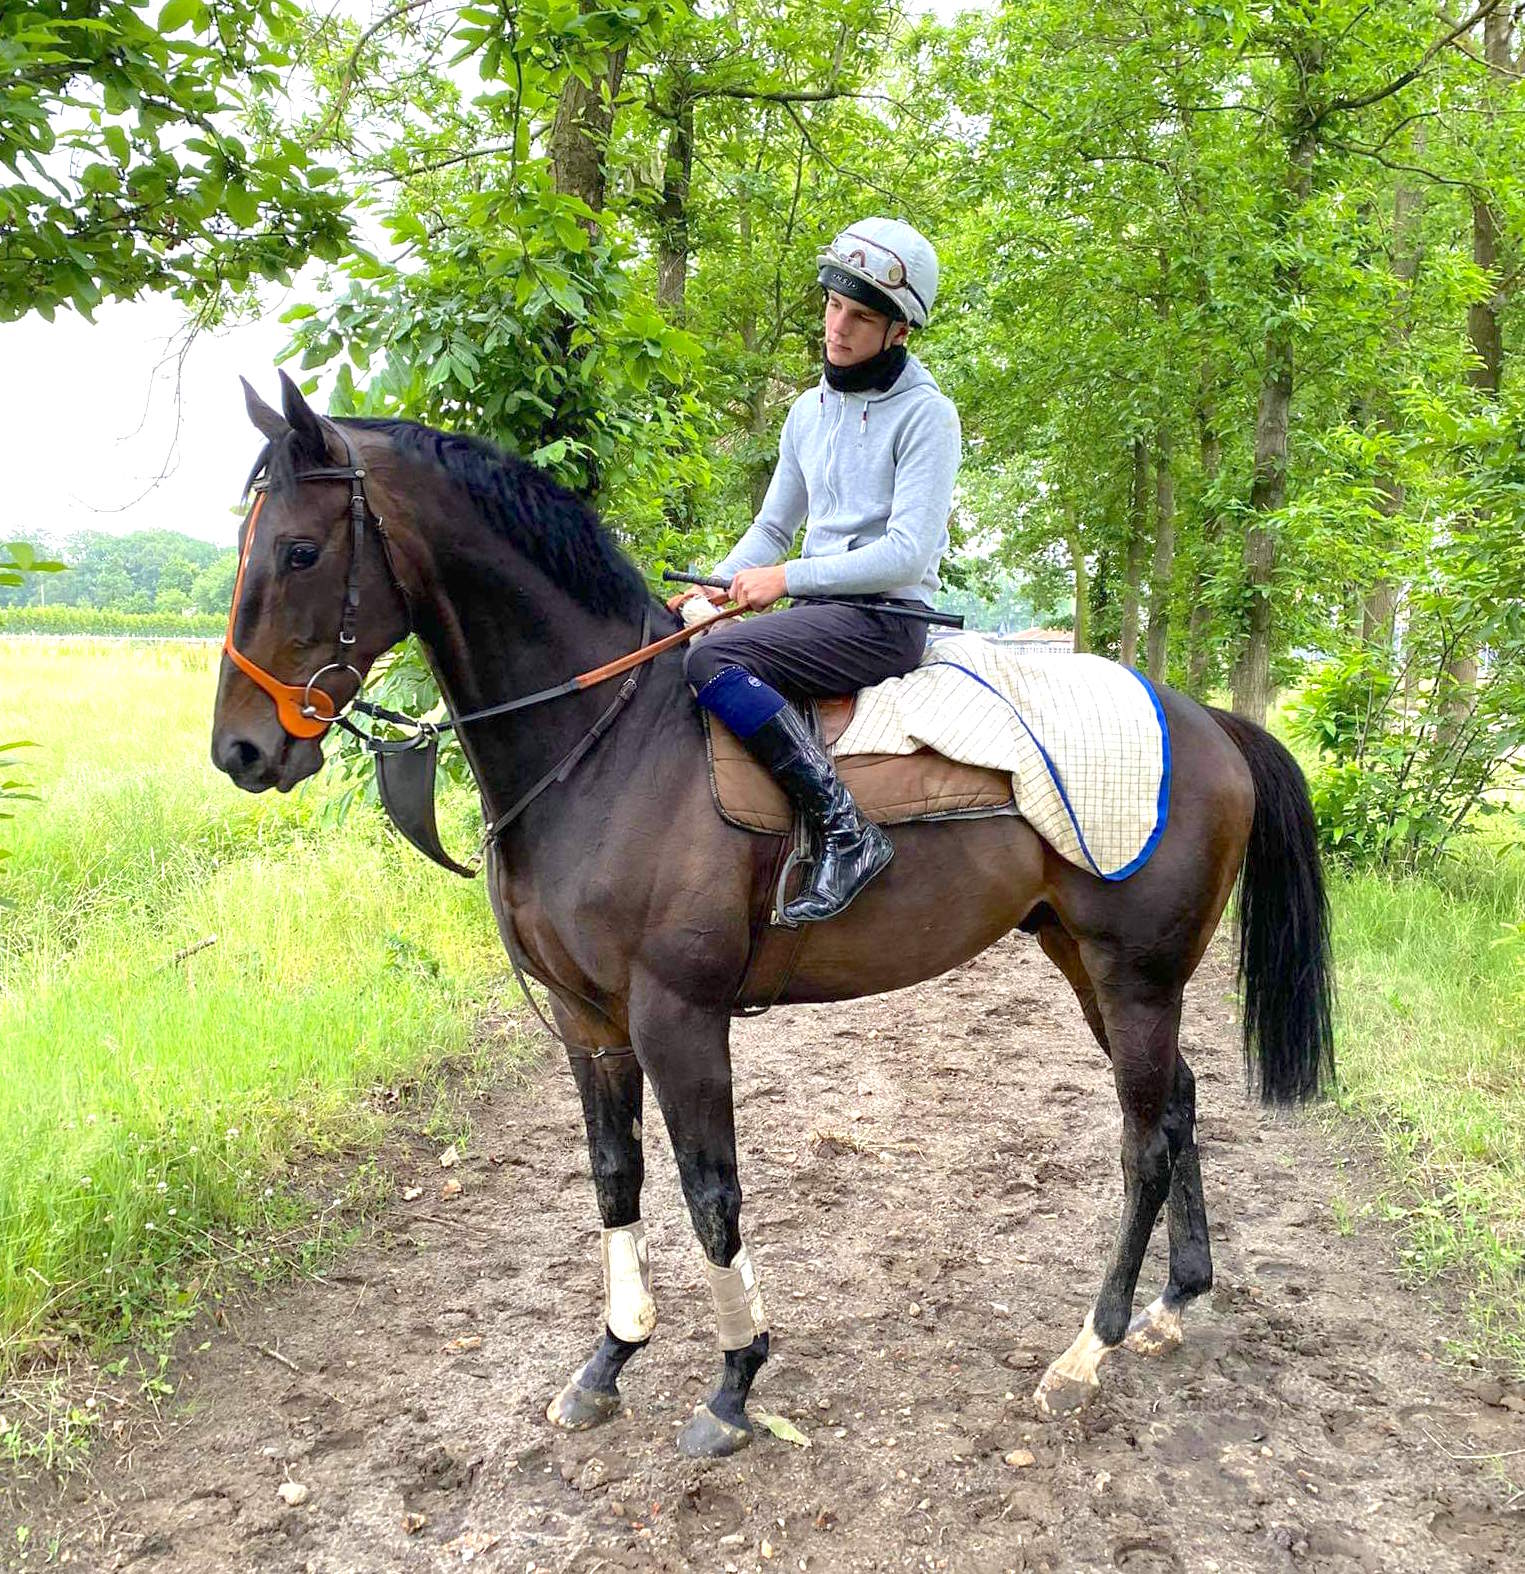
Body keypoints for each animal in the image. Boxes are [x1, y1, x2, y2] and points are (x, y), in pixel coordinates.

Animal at [207, 374, 1328, 1454]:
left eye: (299, 550)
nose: (241, 751)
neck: (607, 746)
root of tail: (1204, 721)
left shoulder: (677, 1016)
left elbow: (711, 1192)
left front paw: (734, 1381)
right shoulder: (588, 1021)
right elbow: (614, 1177)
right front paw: (609, 1359)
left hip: (1133, 975)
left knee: (1143, 1142)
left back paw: (1086, 1351)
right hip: (1089, 963)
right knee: (1177, 1106)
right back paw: (1175, 1301)